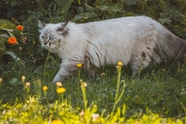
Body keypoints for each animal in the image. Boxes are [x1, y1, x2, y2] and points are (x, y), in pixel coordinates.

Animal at [37, 16, 186, 83]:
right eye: (42, 37)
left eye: (51, 38)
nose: (44, 43)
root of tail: (150, 19)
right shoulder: (87, 61)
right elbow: (92, 73)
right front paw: (94, 81)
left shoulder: (71, 61)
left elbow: (59, 76)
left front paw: (52, 85)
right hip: (147, 51)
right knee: (158, 59)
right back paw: (161, 69)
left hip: (139, 55)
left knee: (140, 68)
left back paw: (132, 80)